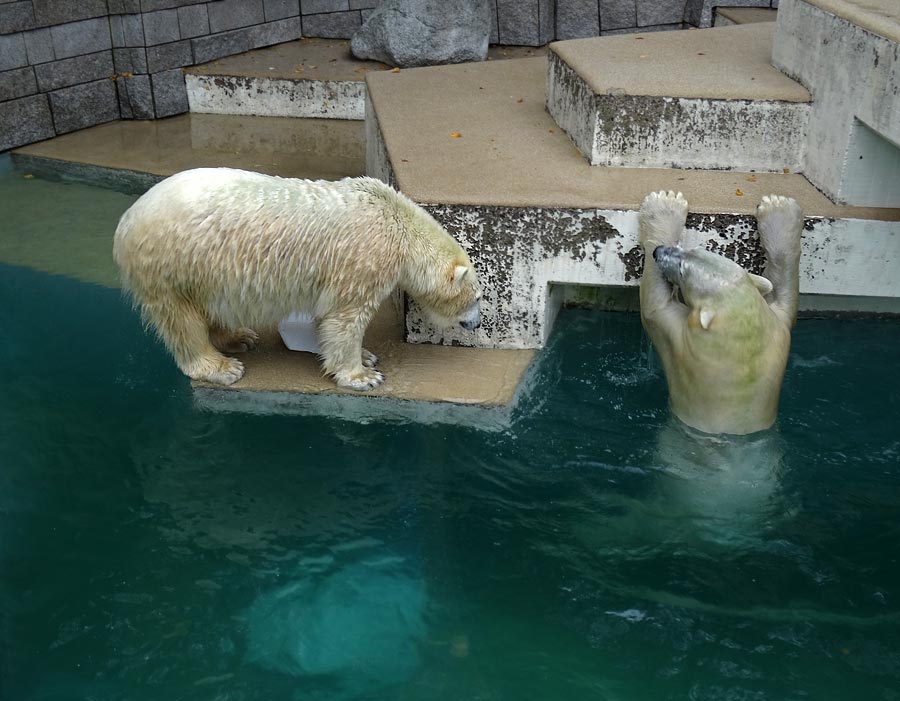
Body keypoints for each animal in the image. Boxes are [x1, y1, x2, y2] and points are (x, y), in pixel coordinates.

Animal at [115, 167, 482, 392]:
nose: (477, 324)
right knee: (181, 319)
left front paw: (365, 356)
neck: (396, 223)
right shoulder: (363, 261)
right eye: (478, 297)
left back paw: (239, 337)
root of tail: (126, 221)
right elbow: (345, 319)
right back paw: (221, 366)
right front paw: (364, 375)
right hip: (172, 264)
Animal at [636, 191, 804, 432]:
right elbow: (782, 292)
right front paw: (780, 207)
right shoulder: (779, 330)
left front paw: (664, 204)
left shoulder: (680, 347)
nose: (659, 251)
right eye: (693, 250)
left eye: (683, 270)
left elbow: (654, 306)